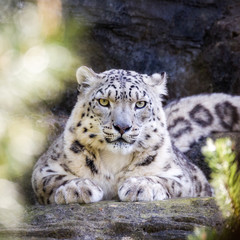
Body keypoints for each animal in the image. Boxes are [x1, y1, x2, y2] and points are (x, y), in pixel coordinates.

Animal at [31, 66, 240, 204]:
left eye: (140, 104)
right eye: (104, 101)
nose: (122, 127)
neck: (114, 160)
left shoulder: (182, 177)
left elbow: (165, 180)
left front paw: (140, 186)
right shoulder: (44, 168)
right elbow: (52, 180)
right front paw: (77, 188)